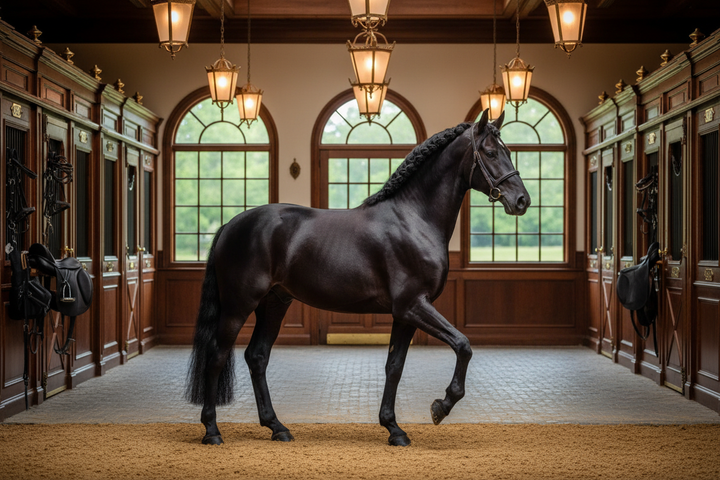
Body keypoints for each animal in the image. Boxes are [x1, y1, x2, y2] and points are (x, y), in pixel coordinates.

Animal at [186, 109, 530, 446]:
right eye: (490, 152)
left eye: (508, 151)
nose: (522, 201)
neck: (414, 219)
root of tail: (230, 225)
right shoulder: (413, 306)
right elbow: (463, 345)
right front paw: (440, 407)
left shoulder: (405, 314)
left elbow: (395, 366)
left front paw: (394, 429)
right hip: (239, 305)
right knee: (216, 356)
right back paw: (212, 431)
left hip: (274, 302)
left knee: (257, 357)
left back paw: (277, 427)